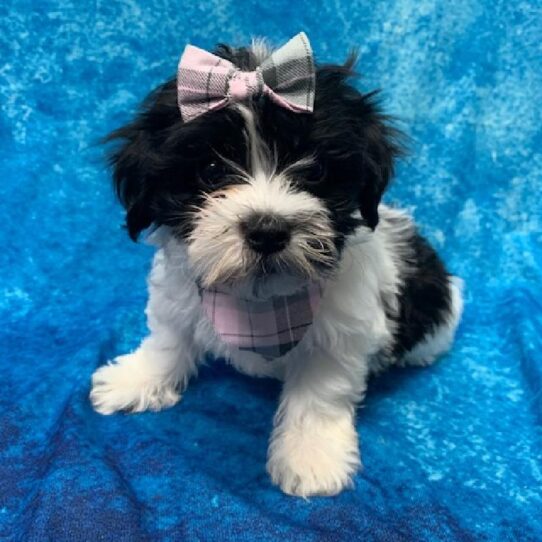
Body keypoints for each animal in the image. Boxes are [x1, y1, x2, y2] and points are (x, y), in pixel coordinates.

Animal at [90, 34, 464, 500]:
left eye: (315, 169)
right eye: (210, 170)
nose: (267, 230)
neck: (259, 297)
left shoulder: (342, 331)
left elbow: (320, 391)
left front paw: (311, 456)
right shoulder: (178, 296)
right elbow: (168, 340)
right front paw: (136, 380)